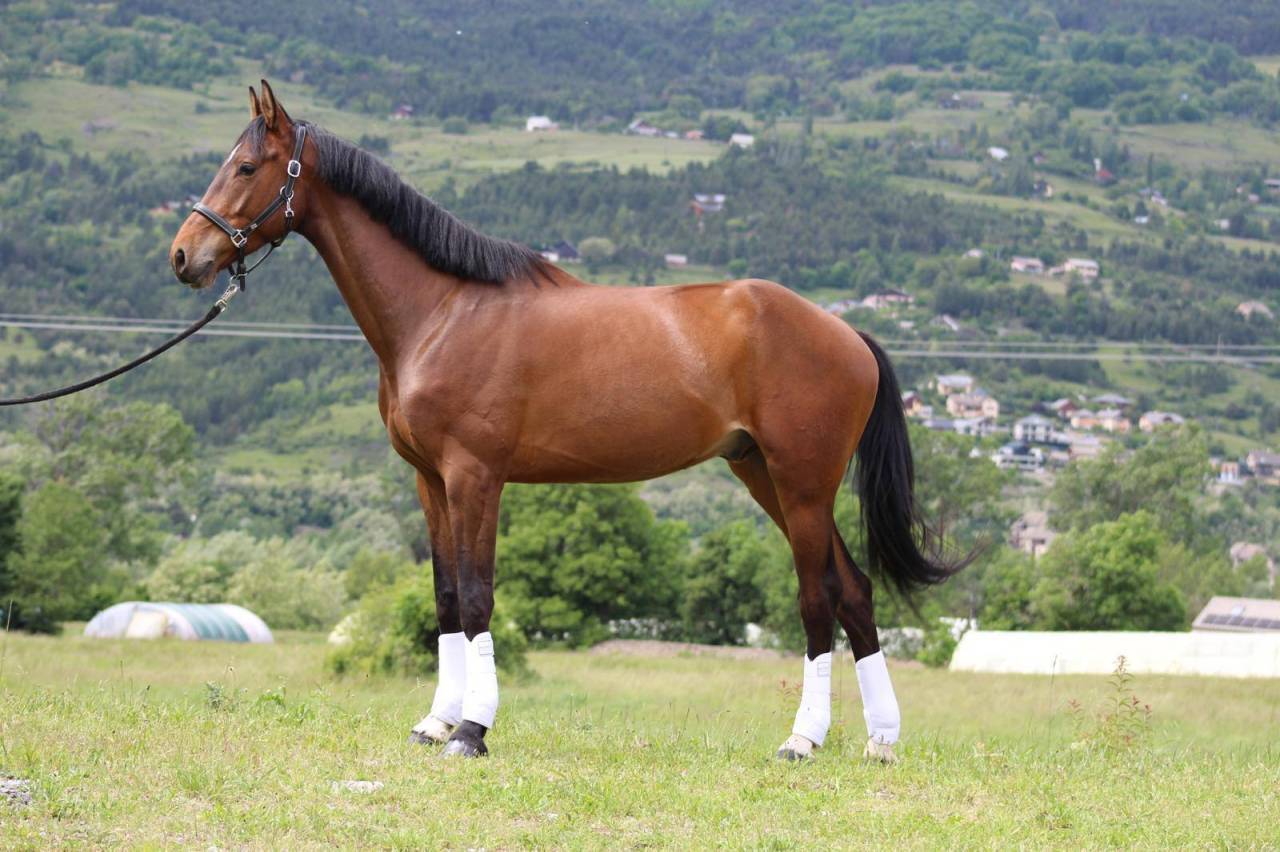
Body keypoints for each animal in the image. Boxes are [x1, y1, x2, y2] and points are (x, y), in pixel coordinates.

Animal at [170, 80, 964, 762]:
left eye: (246, 166)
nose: (184, 255)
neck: (443, 312)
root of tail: (846, 333)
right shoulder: (430, 481)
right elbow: (447, 600)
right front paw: (436, 721)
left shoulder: (476, 477)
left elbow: (479, 597)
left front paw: (473, 731)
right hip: (764, 475)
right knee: (855, 592)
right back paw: (880, 741)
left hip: (801, 487)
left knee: (817, 598)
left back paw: (803, 739)